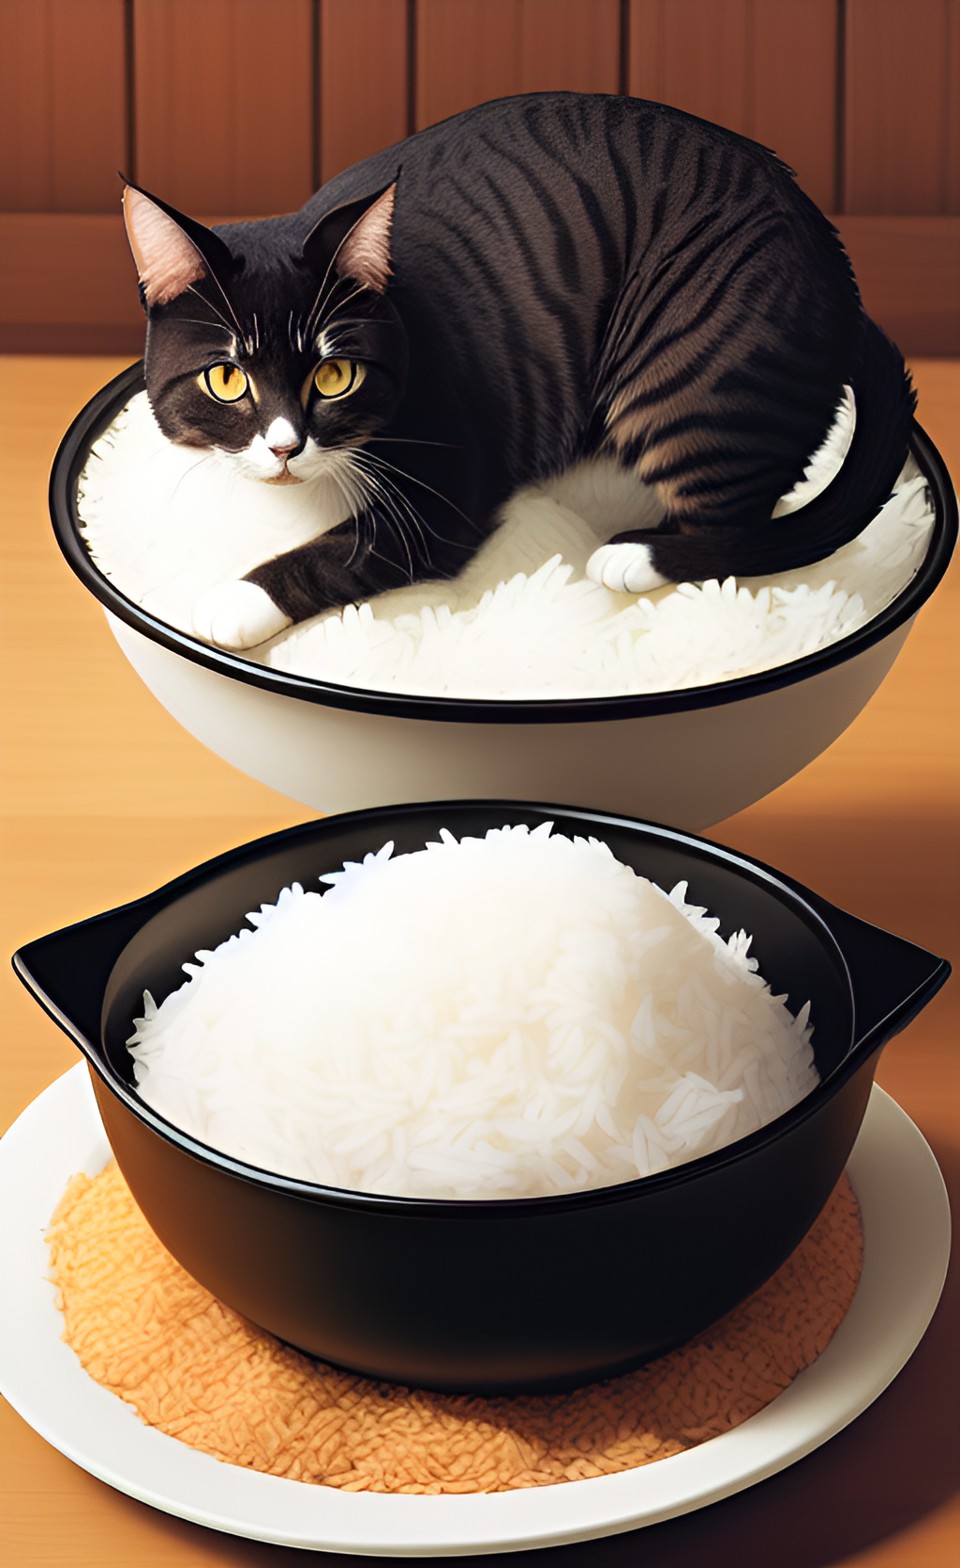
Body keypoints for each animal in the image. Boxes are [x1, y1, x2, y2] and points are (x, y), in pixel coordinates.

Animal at [121, 91, 916, 649]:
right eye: (227, 379)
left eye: (334, 376)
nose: (287, 446)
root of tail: (842, 281)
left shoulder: (449, 481)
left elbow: (345, 547)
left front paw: (234, 599)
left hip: (693, 362)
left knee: (743, 524)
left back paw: (637, 554)